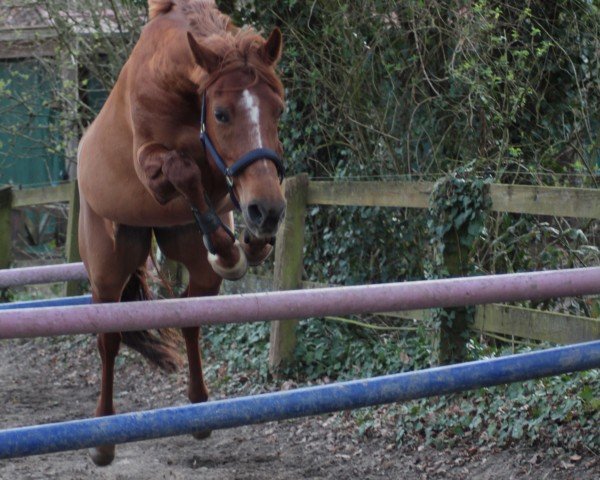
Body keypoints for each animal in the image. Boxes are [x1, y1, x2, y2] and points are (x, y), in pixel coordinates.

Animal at [77, 0, 286, 464]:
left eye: (279, 110)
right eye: (221, 114)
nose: (269, 213)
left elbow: (225, 183)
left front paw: (252, 240)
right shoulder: (152, 167)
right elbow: (183, 169)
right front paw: (233, 246)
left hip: (188, 254)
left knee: (191, 316)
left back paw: (199, 409)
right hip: (107, 273)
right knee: (109, 341)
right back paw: (102, 437)